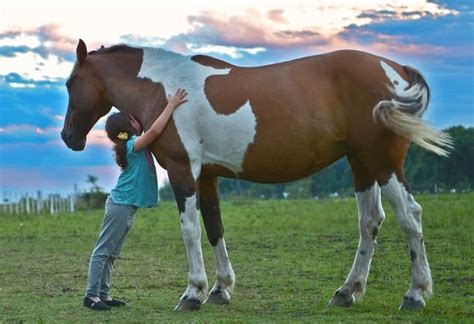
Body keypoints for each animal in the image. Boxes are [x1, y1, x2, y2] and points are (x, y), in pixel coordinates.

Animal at [62, 40, 452, 312]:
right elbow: (214, 228)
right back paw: (346, 292)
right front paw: (220, 289)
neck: (165, 89)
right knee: (370, 221)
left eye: (70, 83)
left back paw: (415, 294)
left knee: (409, 217)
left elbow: (190, 231)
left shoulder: (182, 170)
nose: (69, 137)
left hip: (382, 162)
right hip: (361, 164)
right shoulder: (207, 176)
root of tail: (395, 68)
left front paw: (192, 293)